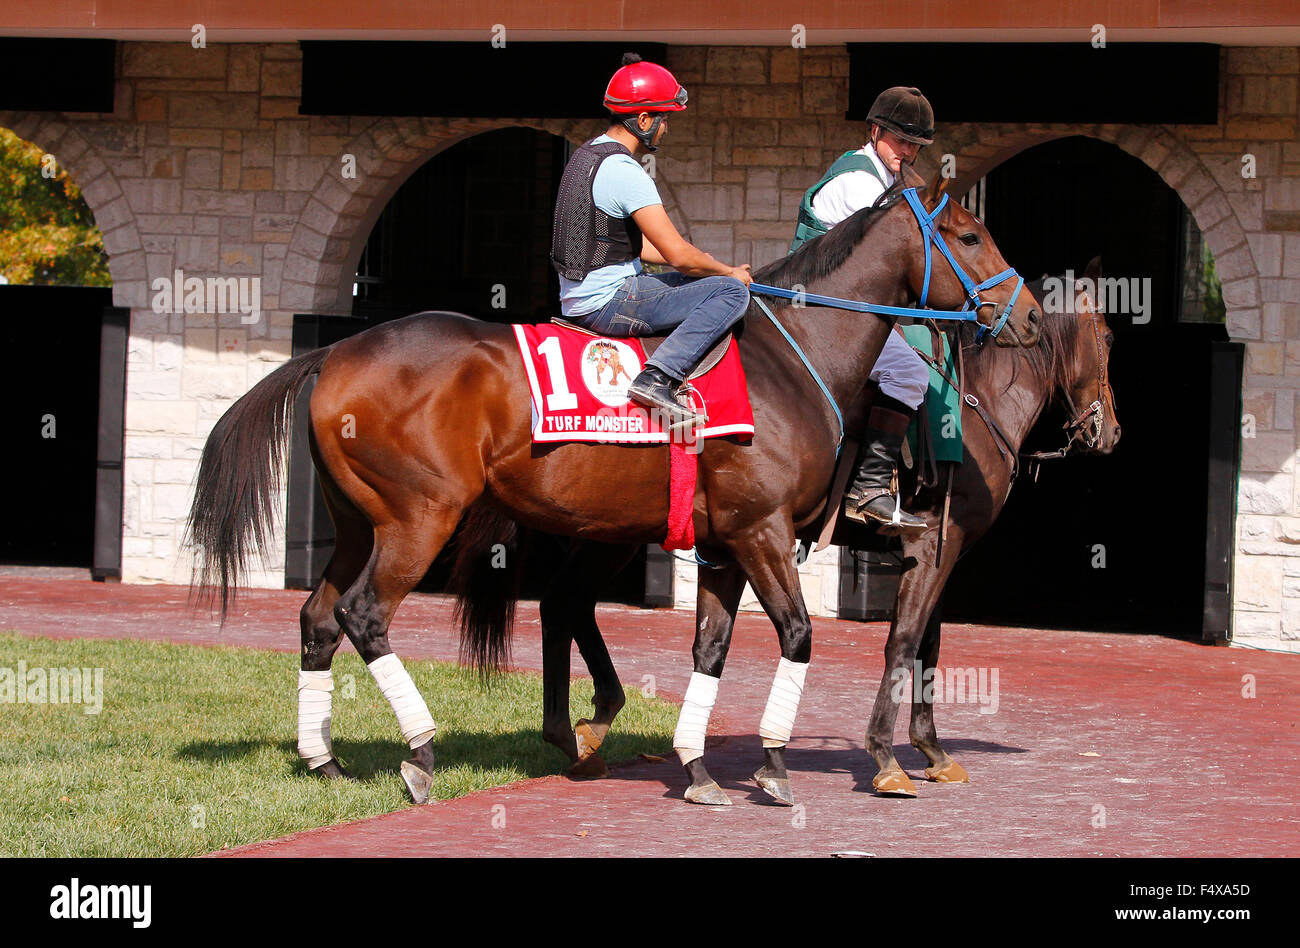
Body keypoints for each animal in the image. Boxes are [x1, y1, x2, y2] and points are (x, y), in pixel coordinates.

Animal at [183, 166, 1040, 801]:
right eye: (969, 234)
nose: (1029, 312)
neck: (794, 354)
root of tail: (338, 349)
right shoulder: (763, 532)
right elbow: (802, 635)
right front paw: (780, 762)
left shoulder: (725, 544)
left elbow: (711, 648)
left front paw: (699, 768)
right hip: (417, 521)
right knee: (365, 616)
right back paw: (421, 752)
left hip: (362, 524)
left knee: (318, 619)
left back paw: (324, 759)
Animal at [868, 254, 1123, 795]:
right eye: (1109, 337)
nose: (1111, 430)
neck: (976, 400)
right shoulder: (931, 546)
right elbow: (904, 640)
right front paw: (884, 754)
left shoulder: (945, 551)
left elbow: (929, 644)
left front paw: (932, 749)